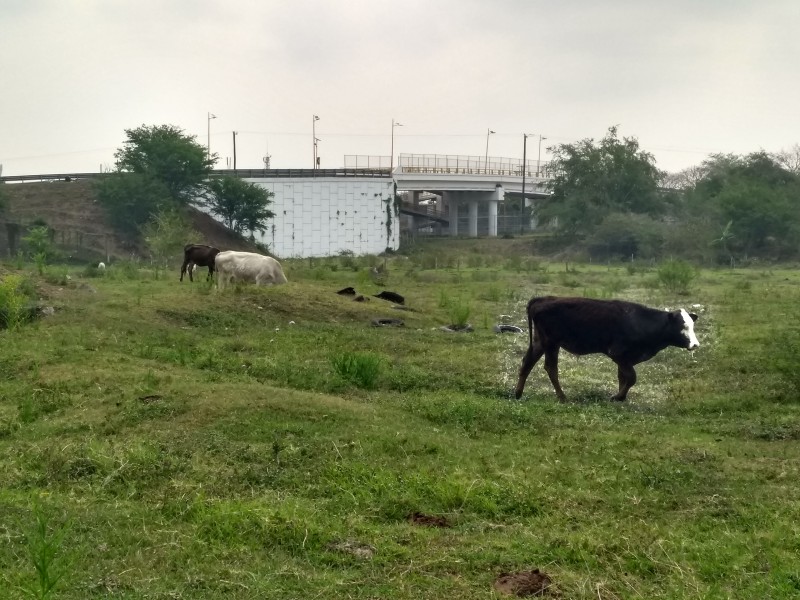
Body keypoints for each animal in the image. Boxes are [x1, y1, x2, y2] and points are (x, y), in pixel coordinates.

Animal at [516, 296, 696, 400]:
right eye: (682, 326)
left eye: (692, 326)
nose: (695, 344)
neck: (641, 322)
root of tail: (543, 298)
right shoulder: (617, 353)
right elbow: (631, 377)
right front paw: (617, 397)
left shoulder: (626, 358)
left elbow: (622, 377)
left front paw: (622, 397)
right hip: (551, 343)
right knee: (551, 368)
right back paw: (562, 397)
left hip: (540, 342)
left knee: (527, 363)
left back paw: (518, 394)